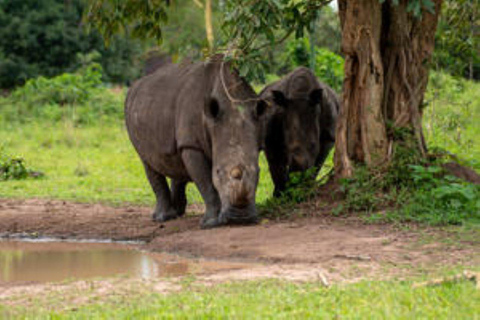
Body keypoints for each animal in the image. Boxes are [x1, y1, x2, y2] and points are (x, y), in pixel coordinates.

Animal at [125, 56, 268, 229]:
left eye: (259, 172)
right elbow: (205, 182)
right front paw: (211, 223)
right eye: (218, 172)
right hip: (132, 114)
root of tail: (135, 85)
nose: (240, 218)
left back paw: (177, 212)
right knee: (148, 162)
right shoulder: (191, 145)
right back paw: (162, 218)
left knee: (175, 161)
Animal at [258, 67, 342, 196]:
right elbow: (276, 166)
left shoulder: (329, 136)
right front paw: (281, 194)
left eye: (313, 145)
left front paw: (306, 187)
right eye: (287, 147)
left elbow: (318, 163)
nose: (298, 171)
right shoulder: (270, 138)